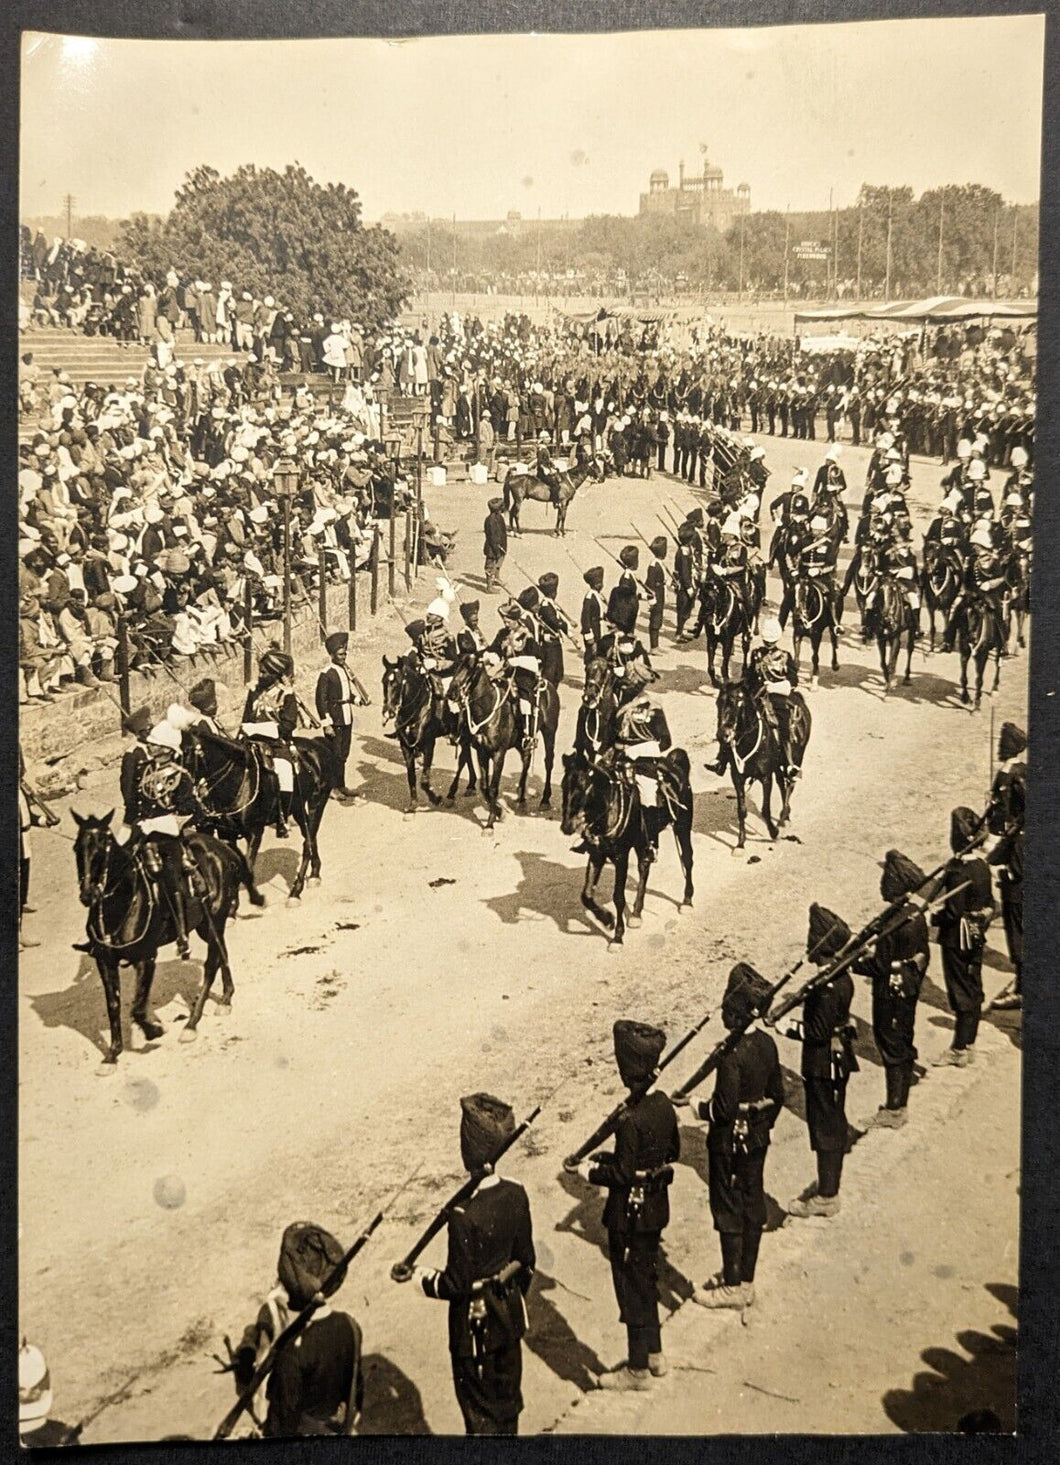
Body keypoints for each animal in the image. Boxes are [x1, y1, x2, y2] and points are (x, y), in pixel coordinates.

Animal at [72, 814, 263, 1066]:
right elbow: (113, 1004)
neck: (122, 905)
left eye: (104, 847)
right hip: (208, 927)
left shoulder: (146, 957)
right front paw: (113, 1054)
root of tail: (223, 848)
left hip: (213, 921)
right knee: (222, 955)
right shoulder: (105, 961)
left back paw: (192, 1024)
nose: (88, 895)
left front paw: (154, 1030)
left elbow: (137, 1009)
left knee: (211, 966)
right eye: (77, 848)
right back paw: (226, 998)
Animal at [177, 726, 335, 896]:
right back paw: (314, 874)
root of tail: (319, 746)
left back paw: (296, 891)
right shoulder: (226, 833)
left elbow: (246, 868)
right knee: (310, 837)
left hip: (317, 802)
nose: (180, 802)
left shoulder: (255, 833)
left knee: (307, 843)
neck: (239, 780)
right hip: (298, 807)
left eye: (185, 752)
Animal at [562, 750, 696, 943]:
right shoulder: (596, 854)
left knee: (687, 859)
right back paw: (637, 914)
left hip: (682, 826)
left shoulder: (621, 857)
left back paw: (687, 901)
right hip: (645, 840)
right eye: (563, 786)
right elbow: (586, 895)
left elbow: (618, 897)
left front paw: (617, 936)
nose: (567, 826)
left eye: (584, 786)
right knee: (644, 867)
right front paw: (607, 919)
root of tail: (673, 763)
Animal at [711, 682, 814, 849]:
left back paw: (784, 816)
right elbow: (742, 810)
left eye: (736, 704)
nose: (722, 735)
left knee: (790, 783)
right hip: (777, 766)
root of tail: (796, 697)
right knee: (781, 782)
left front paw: (774, 833)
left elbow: (765, 809)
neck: (749, 741)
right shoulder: (737, 777)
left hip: (796, 758)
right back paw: (785, 816)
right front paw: (740, 844)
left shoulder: (766, 777)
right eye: (718, 703)